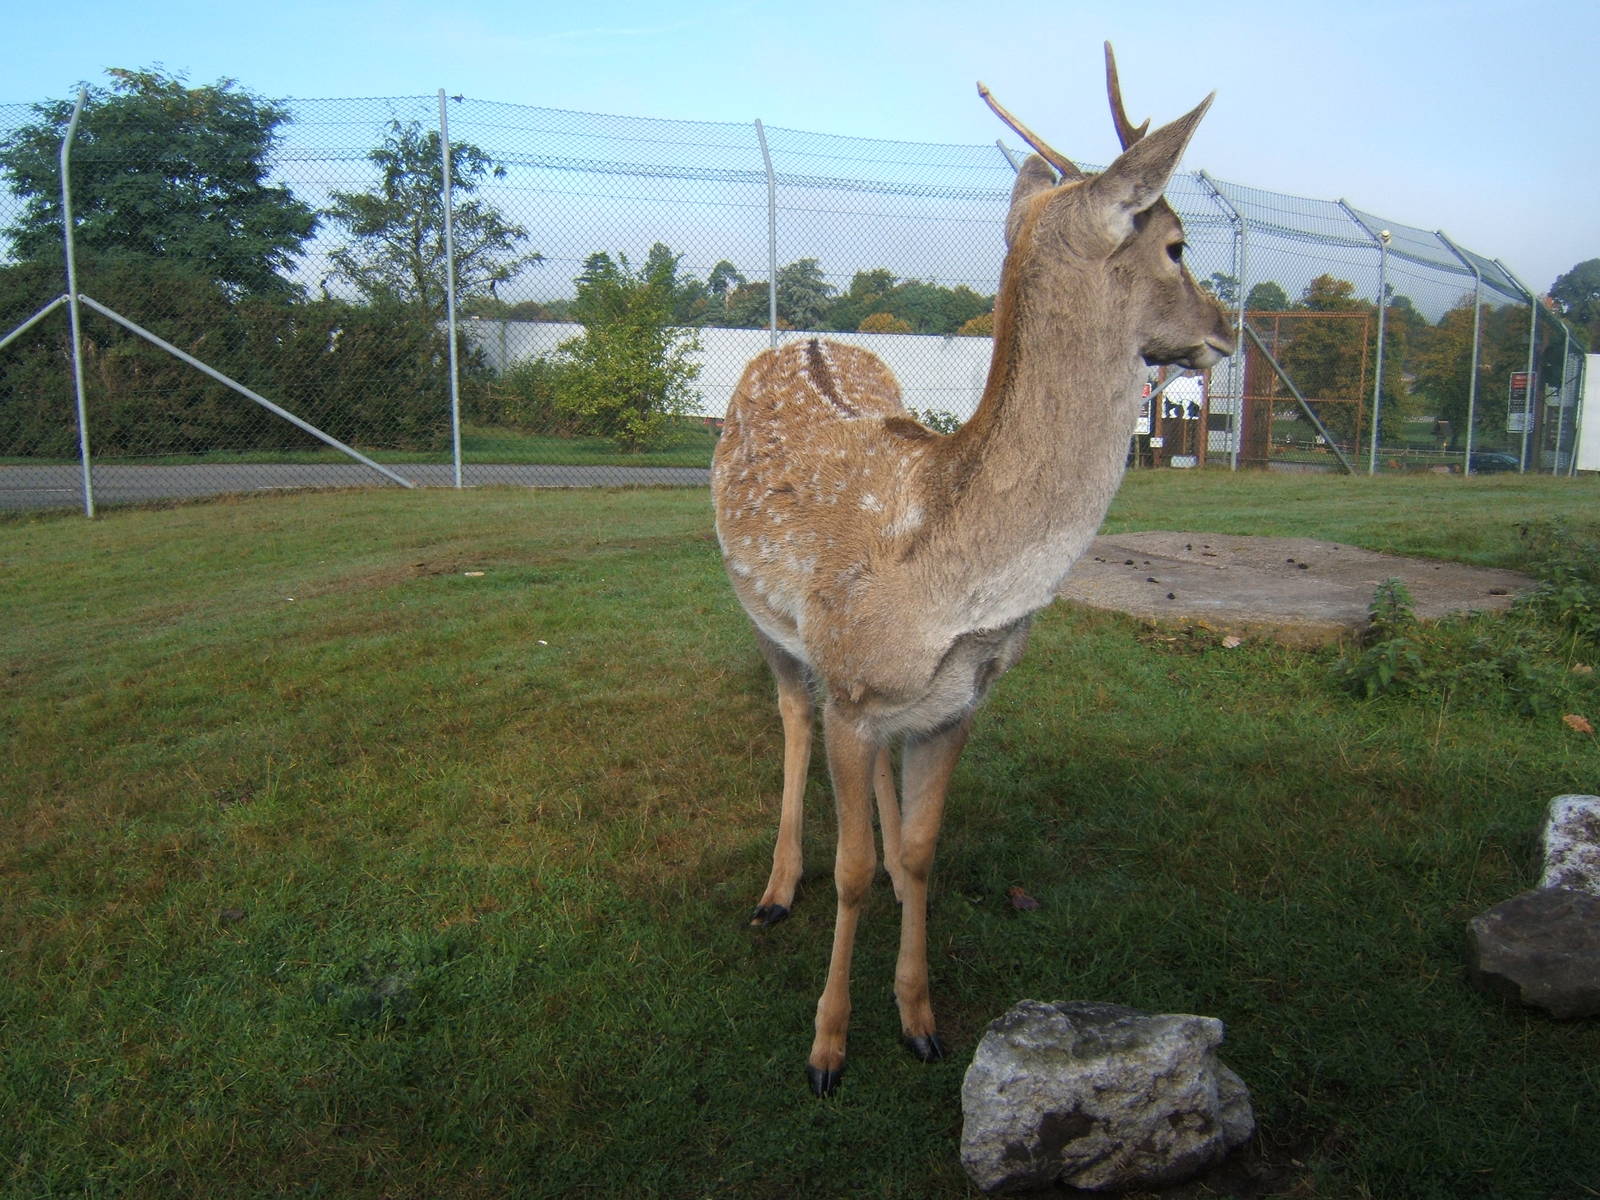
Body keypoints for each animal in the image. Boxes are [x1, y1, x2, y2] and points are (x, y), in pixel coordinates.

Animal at [710, 44, 1235, 1096]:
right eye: (1177, 245)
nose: (1228, 324)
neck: (952, 578)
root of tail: (804, 338)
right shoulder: (850, 684)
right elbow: (850, 869)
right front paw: (829, 1046)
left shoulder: (960, 700)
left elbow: (919, 854)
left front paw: (919, 1018)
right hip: (764, 619)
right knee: (791, 715)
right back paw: (777, 888)